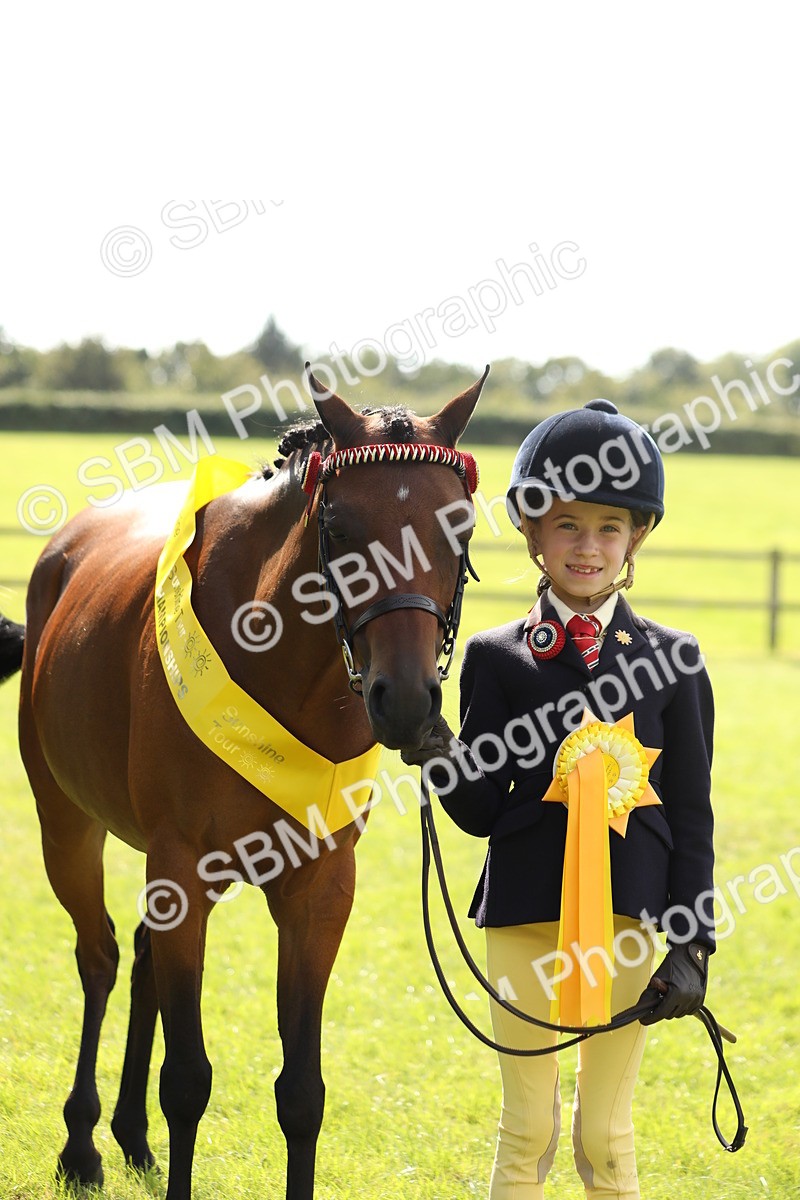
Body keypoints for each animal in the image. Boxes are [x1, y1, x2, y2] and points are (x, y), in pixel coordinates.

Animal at [4, 365, 487, 1200]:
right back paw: (83, 1143)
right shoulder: (181, 867)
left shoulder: (319, 890)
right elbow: (187, 1080)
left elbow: (302, 1091)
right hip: (65, 822)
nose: (406, 699)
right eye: (340, 527)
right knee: (100, 957)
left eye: (457, 528)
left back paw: (129, 1136)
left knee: (138, 953)